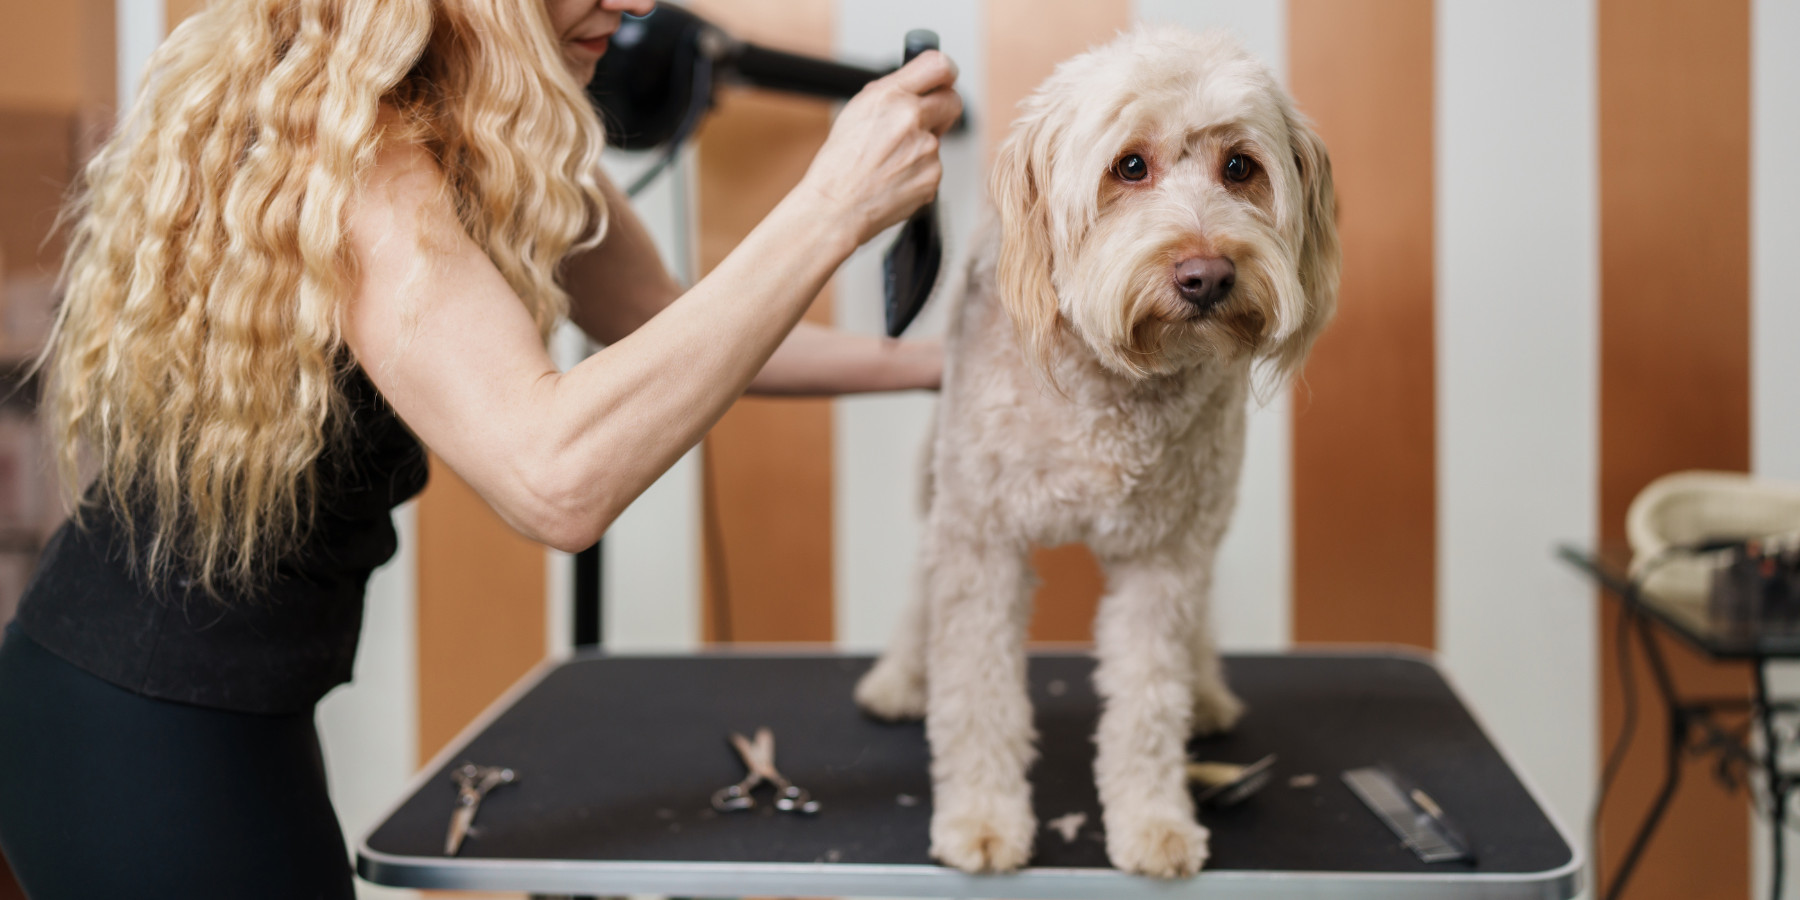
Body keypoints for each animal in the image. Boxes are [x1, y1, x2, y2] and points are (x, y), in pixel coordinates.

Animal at [853, 28, 1339, 878]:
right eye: (1130, 166)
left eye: (1240, 166)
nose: (1207, 274)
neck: (1116, 393)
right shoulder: (982, 539)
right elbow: (975, 692)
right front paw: (983, 819)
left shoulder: (1166, 558)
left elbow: (1149, 699)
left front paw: (1155, 822)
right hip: (943, 486)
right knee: (923, 588)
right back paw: (901, 679)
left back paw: (1207, 692)